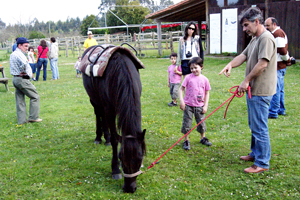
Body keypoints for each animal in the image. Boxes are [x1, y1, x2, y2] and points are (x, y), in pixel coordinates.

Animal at [79, 44, 145, 193]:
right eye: (121, 158)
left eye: (140, 159)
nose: (129, 188)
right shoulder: (109, 108)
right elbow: (116, 139)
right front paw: (115, 170)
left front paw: (108, 139)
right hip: (95, 100)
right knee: (98, 115)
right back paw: (98, 138)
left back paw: (106, 139)